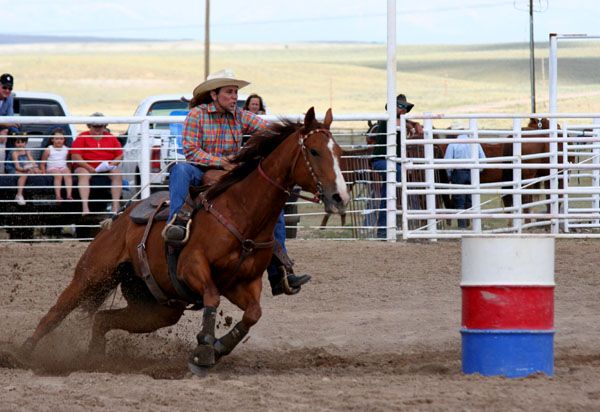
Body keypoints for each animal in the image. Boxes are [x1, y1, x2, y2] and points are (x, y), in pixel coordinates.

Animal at [21, 108, 350, 374]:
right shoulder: (192, 267)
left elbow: (253, 314)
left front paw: (218, 347)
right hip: (92, 275)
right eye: (314, 151)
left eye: (339, 151)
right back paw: (22, 352)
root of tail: (117, 220)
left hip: (157, 309)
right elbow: (212, 298)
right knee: (55, 314)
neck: (242, 212)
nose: (339, 197)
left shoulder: (244, 283)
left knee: (102, 319)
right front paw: (204, 350)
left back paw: (95, 360)